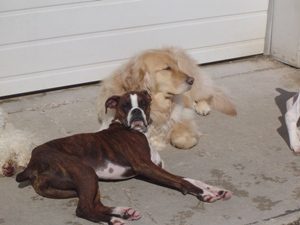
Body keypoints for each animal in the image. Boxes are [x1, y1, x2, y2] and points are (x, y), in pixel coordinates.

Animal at [15, 90, 232, 224]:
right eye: (126, 105)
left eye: (143, 104)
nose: (136, 112)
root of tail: (31, 163)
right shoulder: (145, 166)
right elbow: (182, 181)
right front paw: (203, 193)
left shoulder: (155, 167)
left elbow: (188, 177)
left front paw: (214, 189)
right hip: (85, 172)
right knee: (83, 209)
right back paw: (114, 219)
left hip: (88, 180)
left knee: (95, 204)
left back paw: (123, 212)